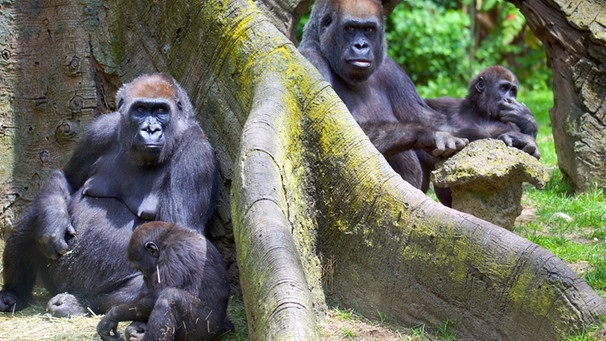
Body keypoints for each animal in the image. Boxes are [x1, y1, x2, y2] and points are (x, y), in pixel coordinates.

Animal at [0, 73, 221, 318]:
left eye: (161, 110)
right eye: (140, 109)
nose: (151, 130)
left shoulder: (195, 152)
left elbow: (179, 233)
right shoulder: (99, 131)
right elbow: (67, 179)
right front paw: (54, 222)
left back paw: (79, 303)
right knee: (34, 216)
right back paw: (13, 294)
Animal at [96, 220, 232, 340]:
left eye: (140, 269)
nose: (145, 278)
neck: (167, 239)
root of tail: (223, 327)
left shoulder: (174, 254)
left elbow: (155, 298)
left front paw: (111, 316)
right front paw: (134, 327)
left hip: (205, 330)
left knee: (169, 297)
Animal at [300, 0, 470, 191]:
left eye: (368, 29)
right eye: (350, 28)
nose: (361, 46)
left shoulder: (393, 70)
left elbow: (434, 120)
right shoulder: (311, 60)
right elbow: (341, 139)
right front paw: (429, 134)